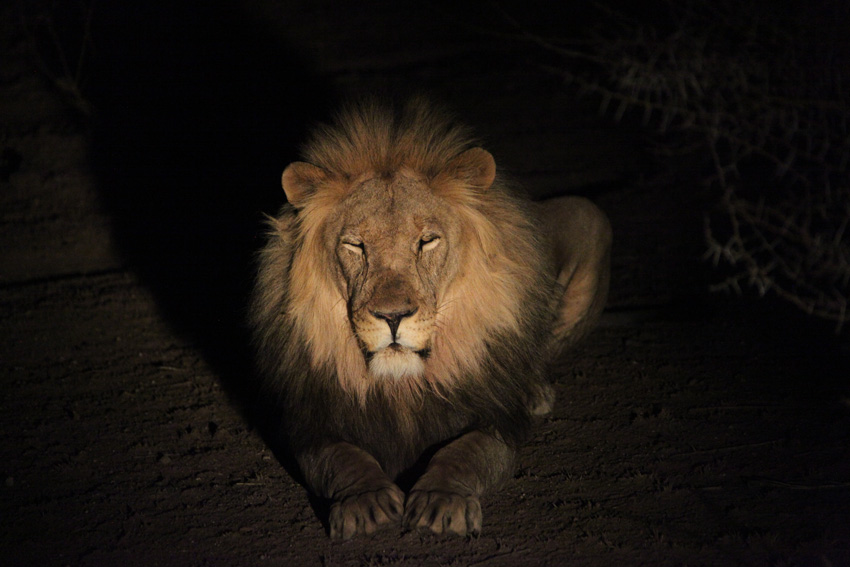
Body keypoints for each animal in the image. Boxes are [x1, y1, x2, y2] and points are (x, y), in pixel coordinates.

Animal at [248, 100, 608, 540]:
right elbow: (340, 458)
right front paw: (365, 502)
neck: (402, 385)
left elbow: (465, 452)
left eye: (427, 241)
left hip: (589, 215)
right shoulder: (311, 422)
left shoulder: (497, 420)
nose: (393, 316)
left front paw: (442, 502)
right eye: (355, 245)